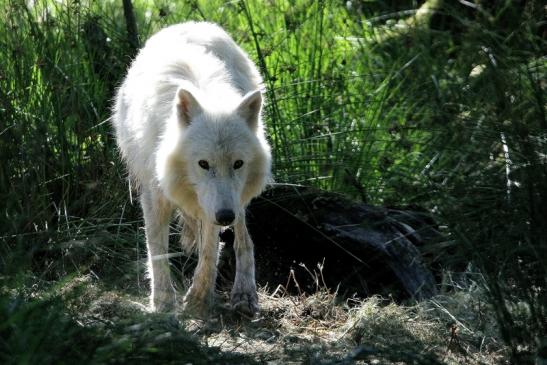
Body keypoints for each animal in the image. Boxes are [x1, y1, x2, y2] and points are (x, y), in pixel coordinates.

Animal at [112, 21, 272, 314]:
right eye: (203, 164)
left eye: (238, 163)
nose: (225, 217)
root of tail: (192, 23)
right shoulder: (154, 196)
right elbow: (157, 251)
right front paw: (163, 301)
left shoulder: (216, 203)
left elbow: (210, 249)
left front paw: (198, 296)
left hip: (236, 200)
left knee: (244, 241)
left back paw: (244, 294)